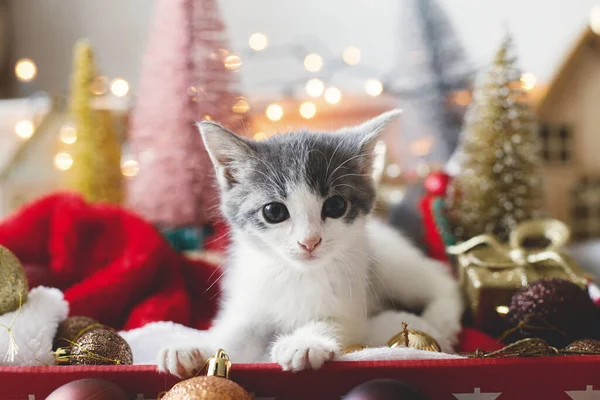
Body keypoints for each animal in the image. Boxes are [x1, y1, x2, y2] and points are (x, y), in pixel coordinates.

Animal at [157, 109, 462, 378]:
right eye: (273, 211)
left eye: (336, 205)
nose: (309, 241)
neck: (297, 273)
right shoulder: (251, 299)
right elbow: (234, 333)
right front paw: (194, 346)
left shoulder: (352, 304)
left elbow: (334, 323)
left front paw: (304, 343)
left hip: (389, 262)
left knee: (441, 278)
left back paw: (442, 320)